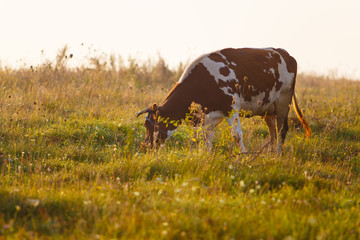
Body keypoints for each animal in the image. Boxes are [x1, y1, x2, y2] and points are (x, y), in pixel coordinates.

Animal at [136, 47, 310, 153]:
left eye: (148, 125)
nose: (145, 146)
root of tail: (284, 53)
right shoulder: (208, 118)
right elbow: (206, 138)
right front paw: (206, 156)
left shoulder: (232, 107)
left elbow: (236, 135)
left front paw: (244, 155)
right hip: (267, 108)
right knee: (272, 132)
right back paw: (271, 154)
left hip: (283, 101)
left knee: (281, 130)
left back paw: (277, 155)